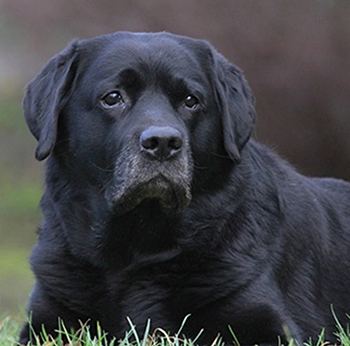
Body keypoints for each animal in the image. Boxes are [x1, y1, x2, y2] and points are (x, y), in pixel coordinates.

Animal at [19, 31, 350, 344]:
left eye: (191, 100)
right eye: (113, 97)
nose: (163, 142)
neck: (137, 247)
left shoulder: (266, 323)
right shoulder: (46, 321)